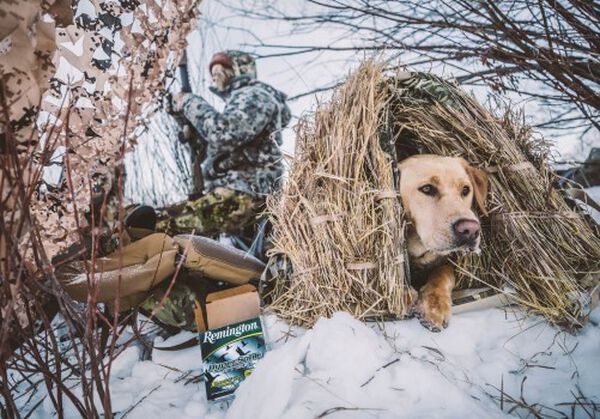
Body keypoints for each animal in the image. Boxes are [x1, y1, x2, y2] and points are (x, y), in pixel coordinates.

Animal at [398, 154, 488, 332]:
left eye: (465, 190)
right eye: (427, 189)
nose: (471, 230)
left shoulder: (447, 261)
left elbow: (443, 273)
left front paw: (435, 305)